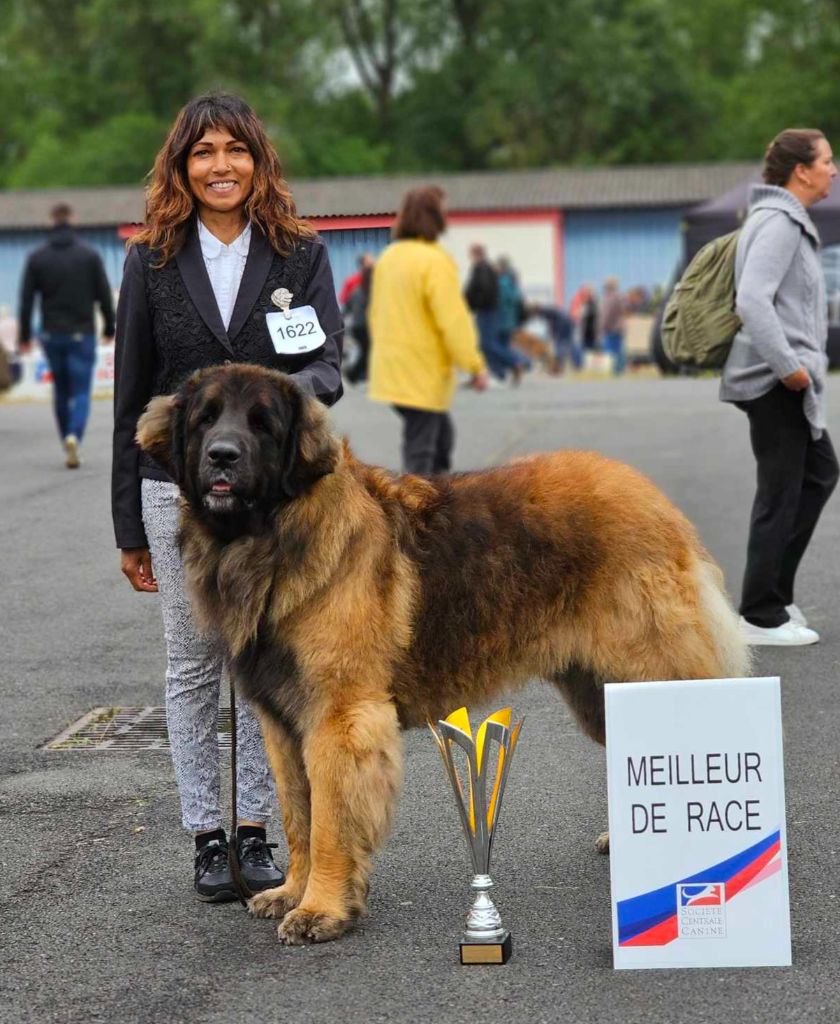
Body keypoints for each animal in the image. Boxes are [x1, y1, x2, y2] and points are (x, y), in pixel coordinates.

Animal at [138, 364, 749, 946]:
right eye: (206, 419)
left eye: (262, 424)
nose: (222, 455)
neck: (272, 540)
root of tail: (657, 500)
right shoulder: (283, 725)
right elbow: (297, 815)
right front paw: (292, 891)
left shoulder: (340, 717)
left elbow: (331, 823)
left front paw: (321, 910)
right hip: (595, 688)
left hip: (649, 675)